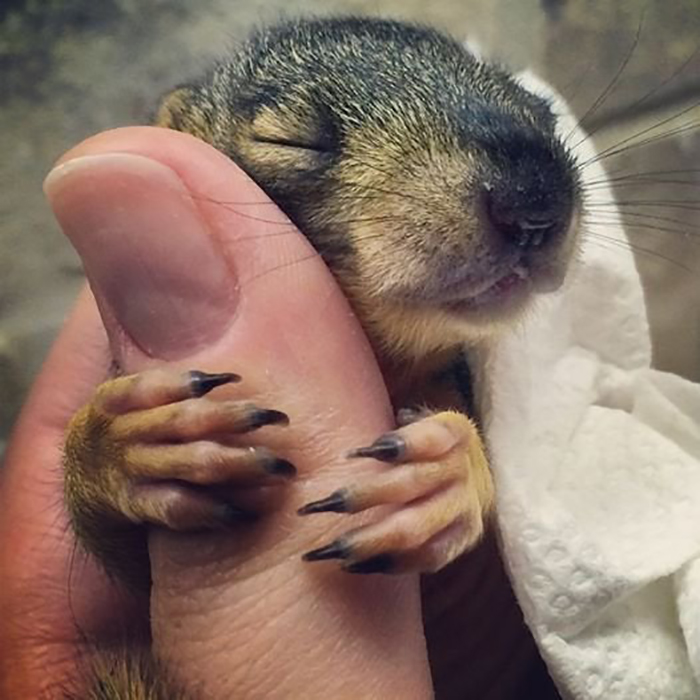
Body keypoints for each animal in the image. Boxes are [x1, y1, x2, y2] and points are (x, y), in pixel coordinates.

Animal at [64, 16, 580, 700]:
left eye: (541, 111)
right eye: (288, 140)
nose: (535, 197)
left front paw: (446, 470)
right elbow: (126, 562)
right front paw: (125, 442)